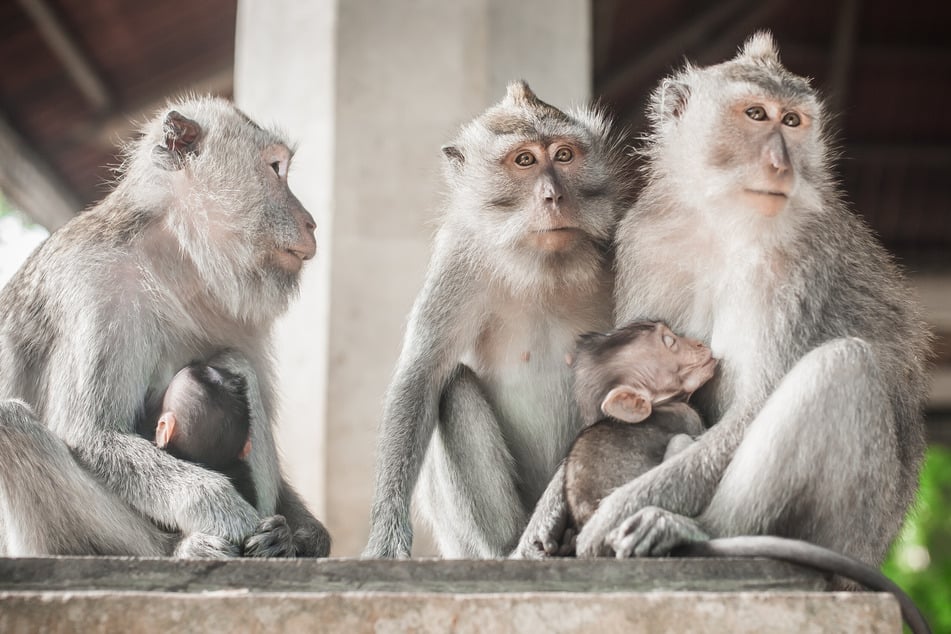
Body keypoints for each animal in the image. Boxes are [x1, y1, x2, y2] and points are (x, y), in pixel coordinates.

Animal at [362, 81, 632, 556]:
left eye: (564, 155)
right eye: (524, 160)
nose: (553, 197)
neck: (544, 267)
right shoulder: (459, 257)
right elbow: (422, 377)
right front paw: (386, 535)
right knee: (453, 387)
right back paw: (510, 546)